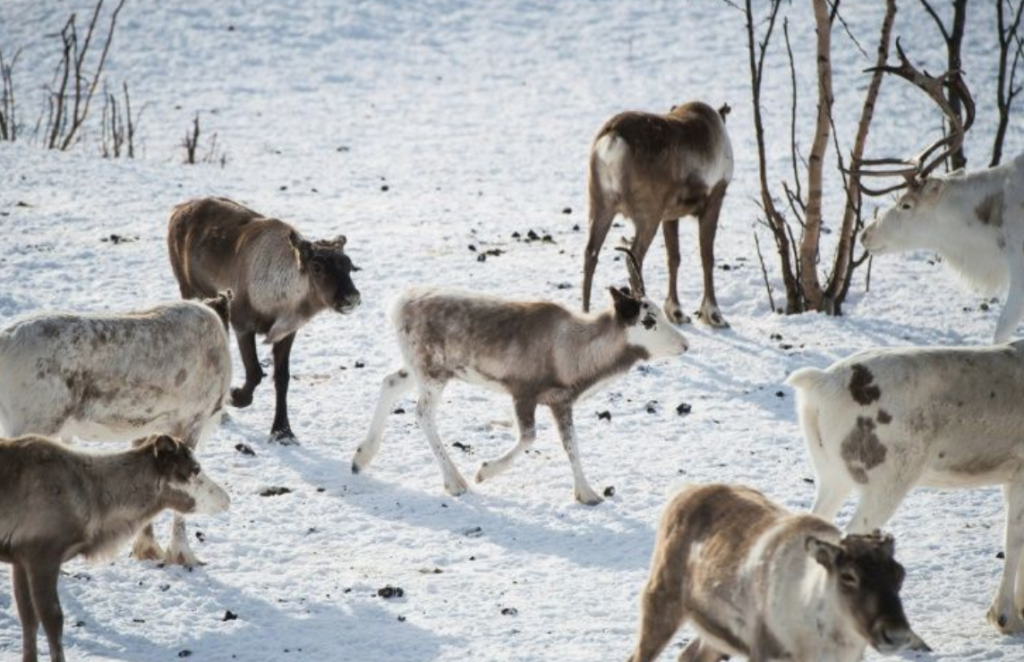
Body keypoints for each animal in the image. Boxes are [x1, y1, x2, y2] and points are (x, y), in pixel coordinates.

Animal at [0, 436, 228, 662]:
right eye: (195, 469)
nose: (226, 499)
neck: (95, 501)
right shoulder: (42, 556)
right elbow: (53, 619)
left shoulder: (20, 560)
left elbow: (28, 618)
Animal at [352, 252, 688, 506]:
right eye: (648, 320)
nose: (684, 344)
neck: (573, 347)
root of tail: (398, 305)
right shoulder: (523, 395)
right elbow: (529, 437)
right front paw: (483, 471)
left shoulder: (561, 403)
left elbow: (572, 446)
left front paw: (588, 494)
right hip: (433, 374)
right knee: (422, 413)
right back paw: (456, 482)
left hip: (418, 369)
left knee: (389, 382)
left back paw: (360, 459)